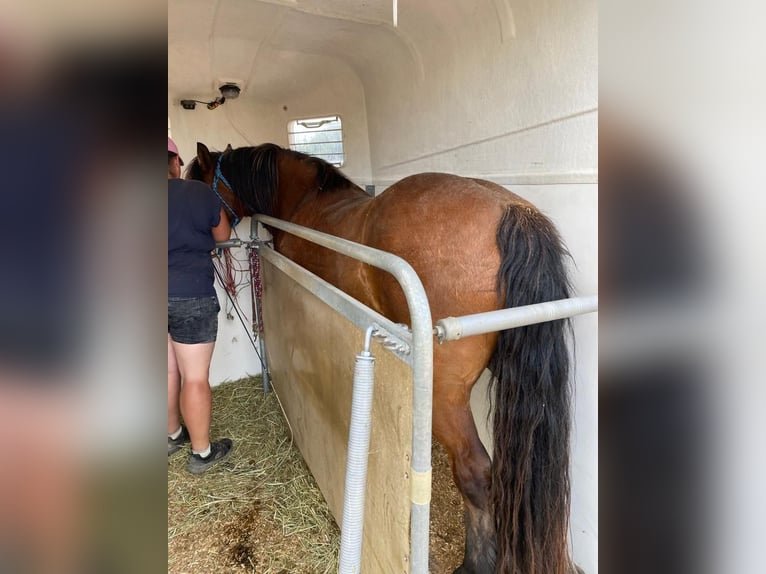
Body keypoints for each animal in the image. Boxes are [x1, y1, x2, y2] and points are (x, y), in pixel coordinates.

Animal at [189, 141, 580, 574]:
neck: (306, 201)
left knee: (476, 474)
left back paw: (475, 562)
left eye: (195, 181)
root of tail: (511, 212)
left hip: (445, 397)